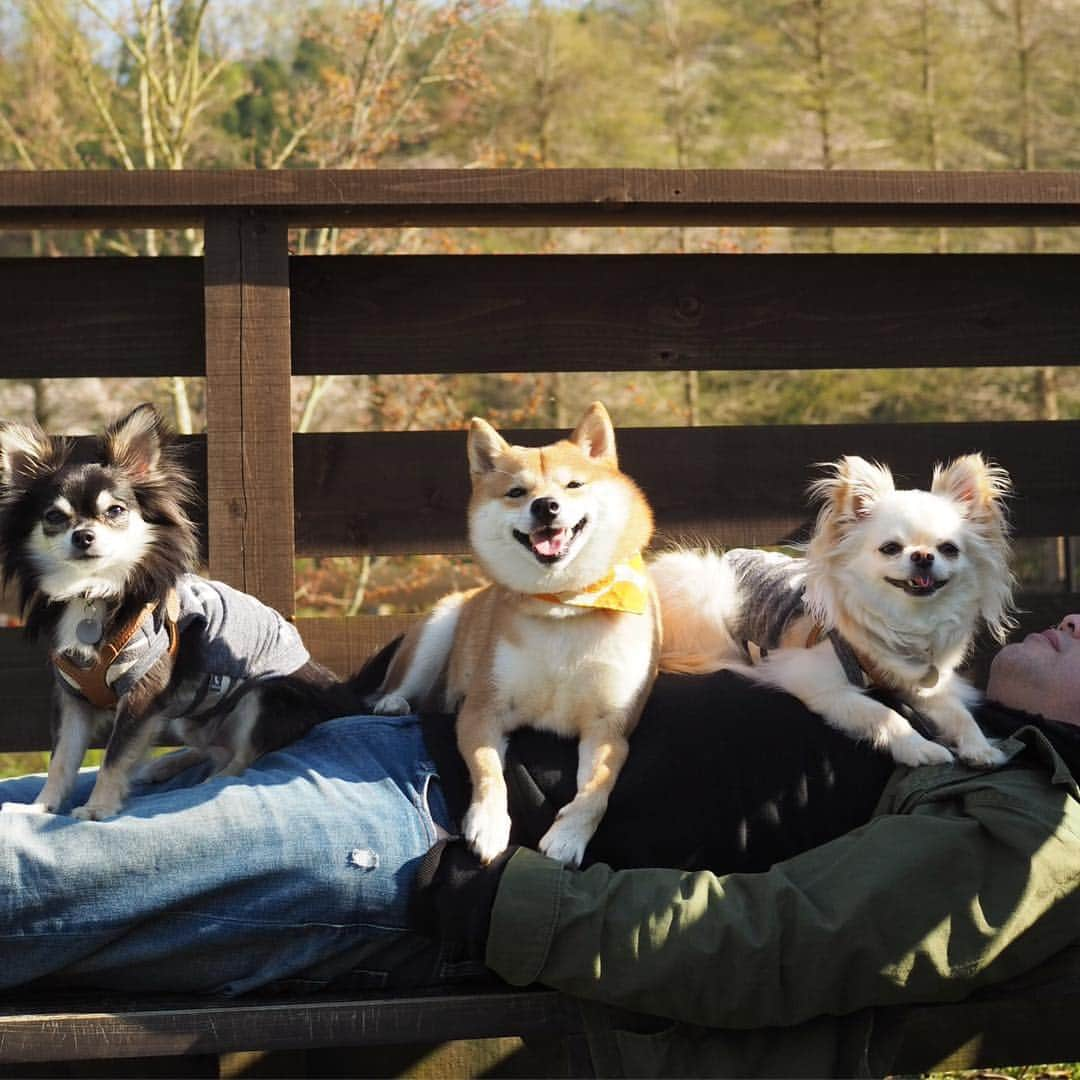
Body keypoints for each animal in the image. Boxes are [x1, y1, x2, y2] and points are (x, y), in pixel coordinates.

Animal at [369, 401, 656, 864]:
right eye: (516, 492)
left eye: (573, 484)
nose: (546, 506)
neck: (564, 604)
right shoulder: (483, 710)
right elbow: (489, 772)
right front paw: (487, 825)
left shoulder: (609, 728)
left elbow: (597, 791)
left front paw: (568, 837)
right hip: (439, 628)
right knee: (401, 683)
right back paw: (392, 702)